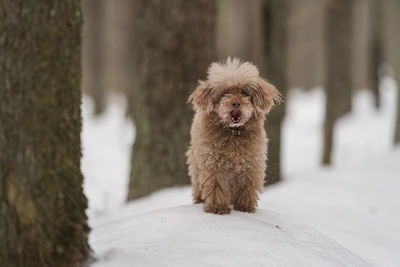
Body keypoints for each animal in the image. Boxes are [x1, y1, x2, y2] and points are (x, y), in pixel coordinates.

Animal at [186, 57, 280, 215]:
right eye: (225, 93)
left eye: (244, 92)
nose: (236, 103)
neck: (233, 132)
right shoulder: (213, 164)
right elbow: (216, 186)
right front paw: (217, 207)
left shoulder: (251, 163)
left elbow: (247, 186)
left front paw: (244, 207)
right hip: (196, 162)